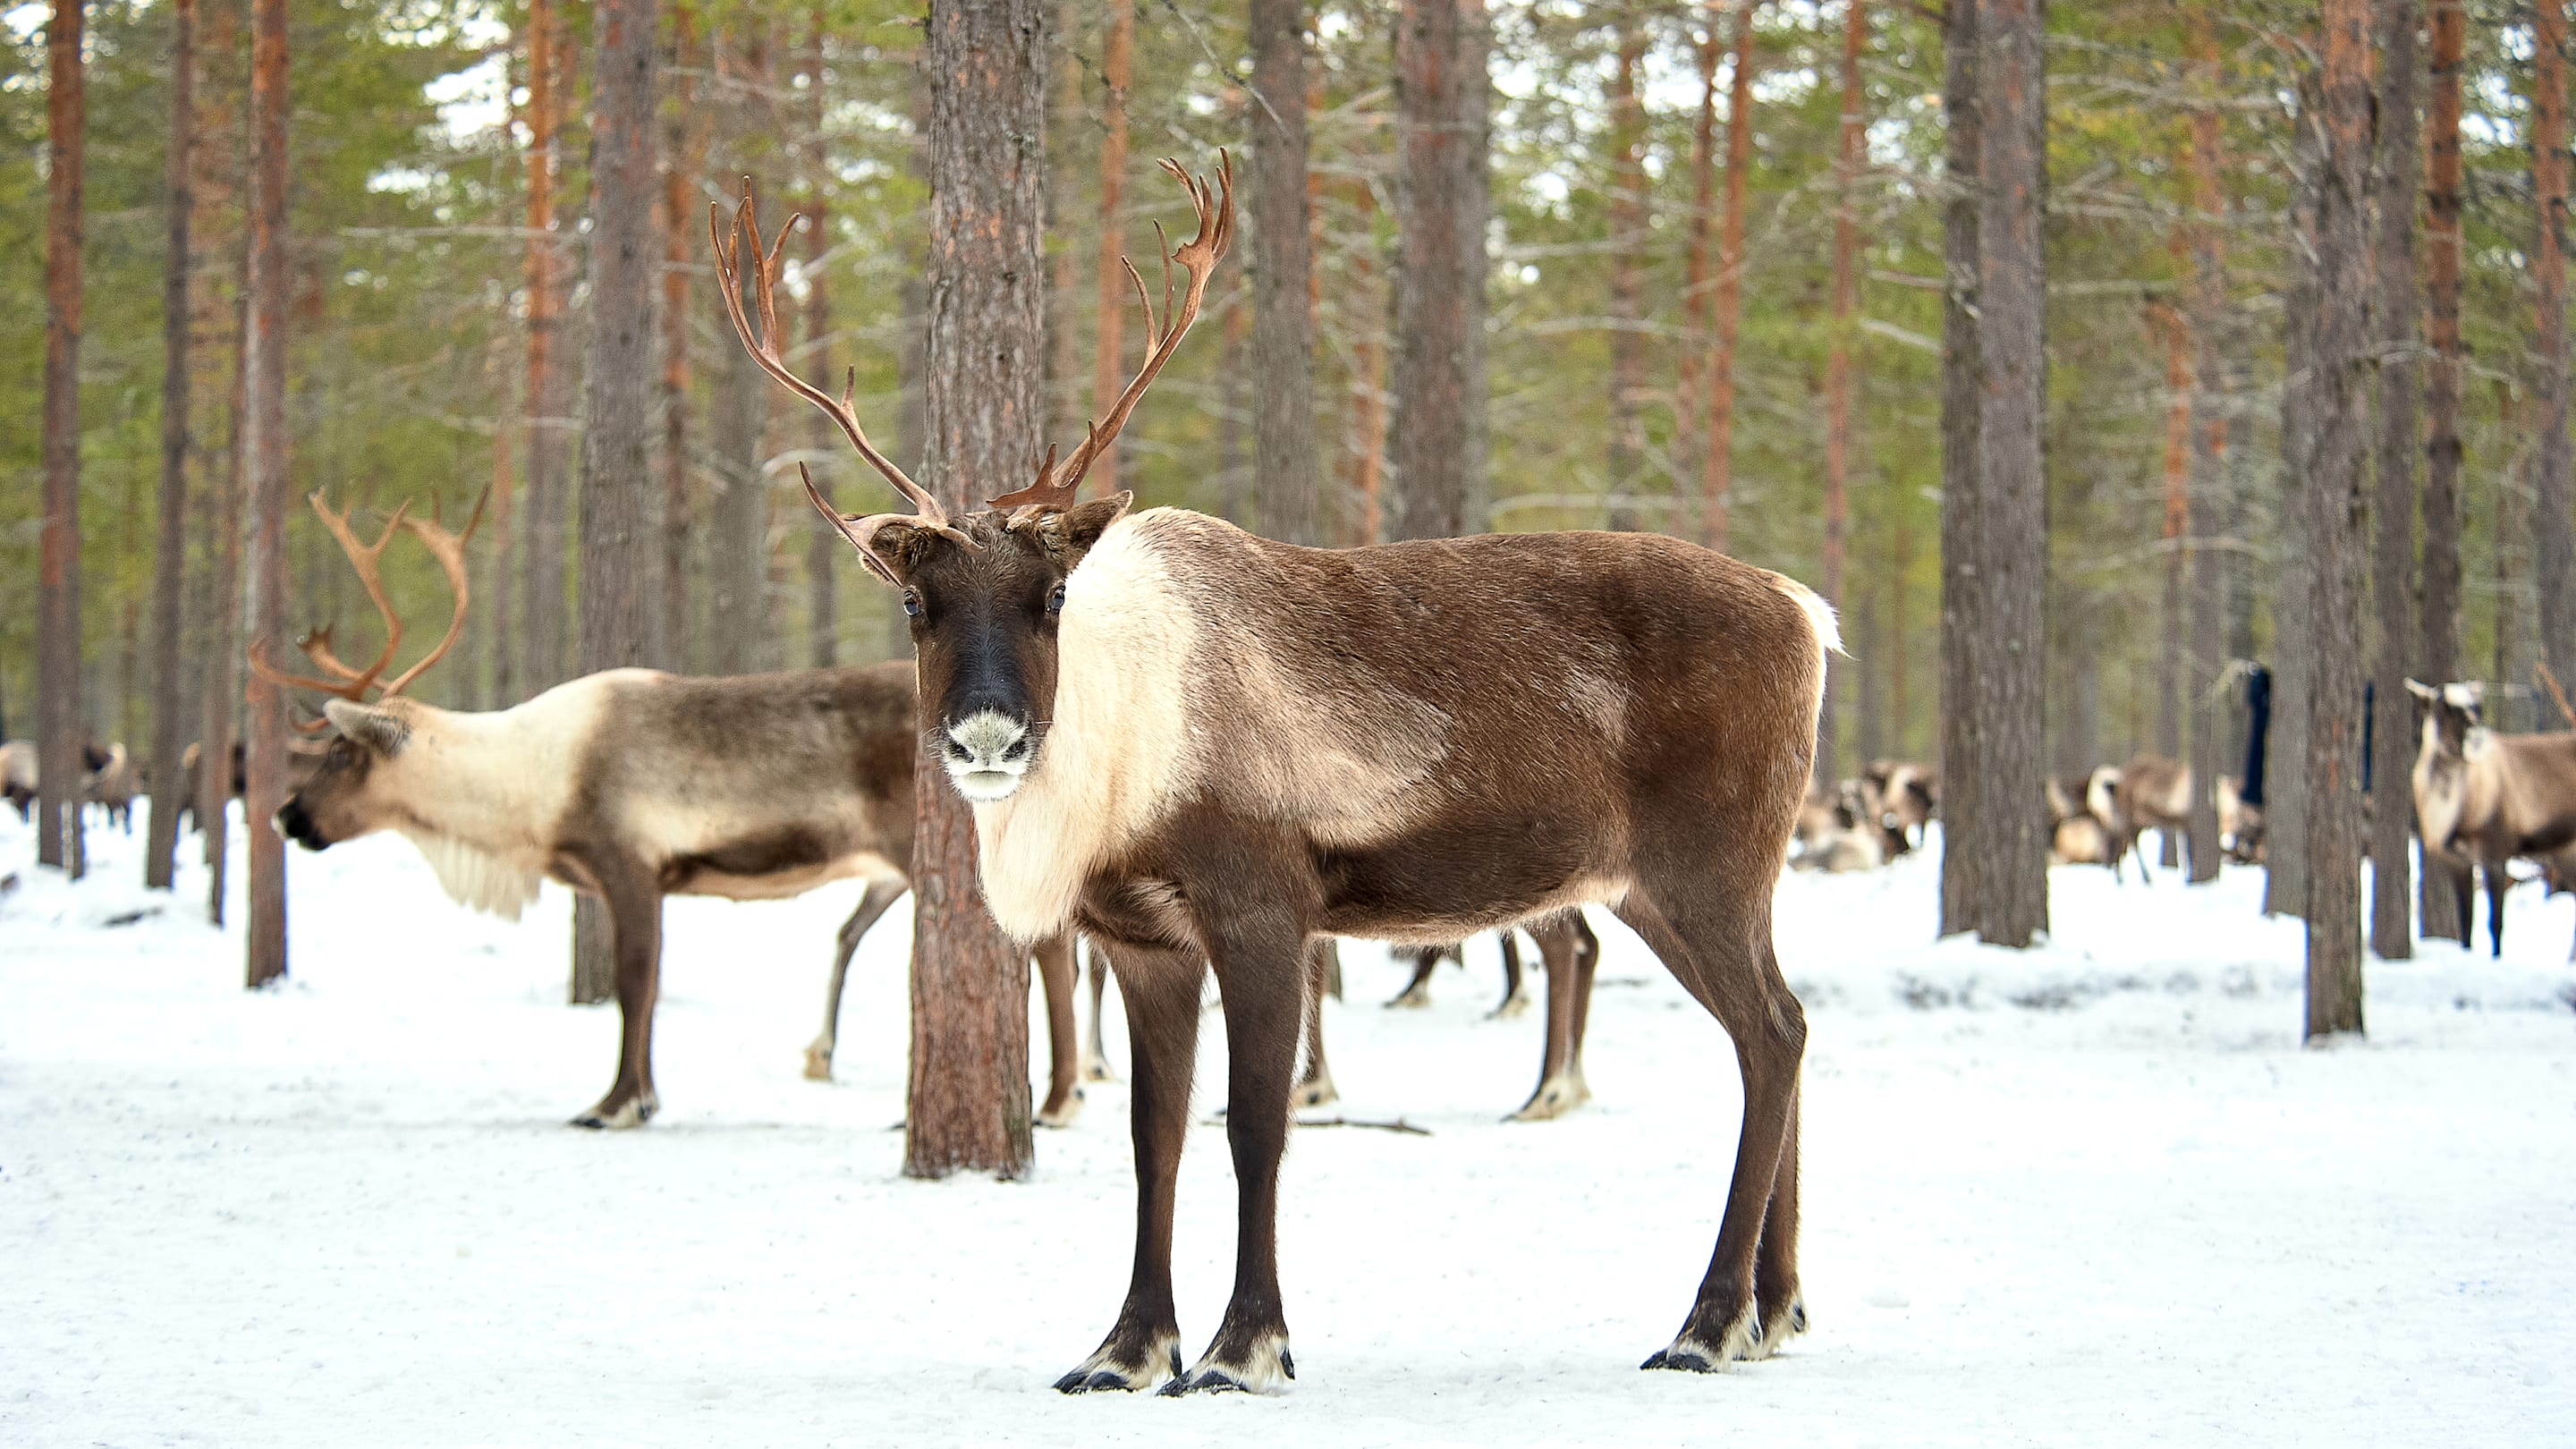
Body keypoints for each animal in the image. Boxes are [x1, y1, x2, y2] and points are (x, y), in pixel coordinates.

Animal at [249, 491, 1090, 1130]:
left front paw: (617, 1103)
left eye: (339, 755)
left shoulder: (628, 863)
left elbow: (634, 982)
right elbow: (647, 986)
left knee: (1051, 947)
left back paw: (1057, 1098)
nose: (287, 817)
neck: (526, 790)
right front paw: (643, 1097)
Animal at [719, 153, 1831, 1392]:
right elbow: (1153, 1138)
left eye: (1050, 596)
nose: (989, 738)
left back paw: (1707, 1323)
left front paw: (1242, 1346)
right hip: (1667, 889)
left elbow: (1255, 1127)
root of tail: (1805, 608)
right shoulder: (1140, 939)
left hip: (1706, 868)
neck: (1120, 778)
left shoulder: (1261, 908)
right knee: (1778, 1031)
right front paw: (1125, 1348)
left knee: (1773, 1035)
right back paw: (1775, 1311)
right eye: (917, 602)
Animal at [2405, 679, 2576, 958]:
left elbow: (2495, 923)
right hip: (2565, 852)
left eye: (2477, 705)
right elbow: (2465, 924)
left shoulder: (2496, 851)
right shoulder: (2455, 861)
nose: (2475, 733)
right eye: (2442, 706)